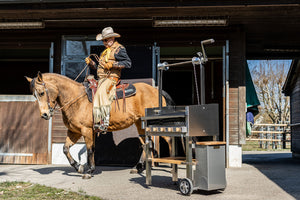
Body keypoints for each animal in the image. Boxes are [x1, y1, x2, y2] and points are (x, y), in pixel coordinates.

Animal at [25, 72, 173, 178]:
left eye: (42, 93)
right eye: (34, 95)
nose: (44, 115)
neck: (76, 99)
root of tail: (156, 91)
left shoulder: (86, 130)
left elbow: (90, 150)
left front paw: (90, 170)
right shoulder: (74, 132)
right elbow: (65, 148)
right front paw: (78, 166)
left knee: (168, 139)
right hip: (139, 123)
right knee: (146, 143)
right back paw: (139, 168)